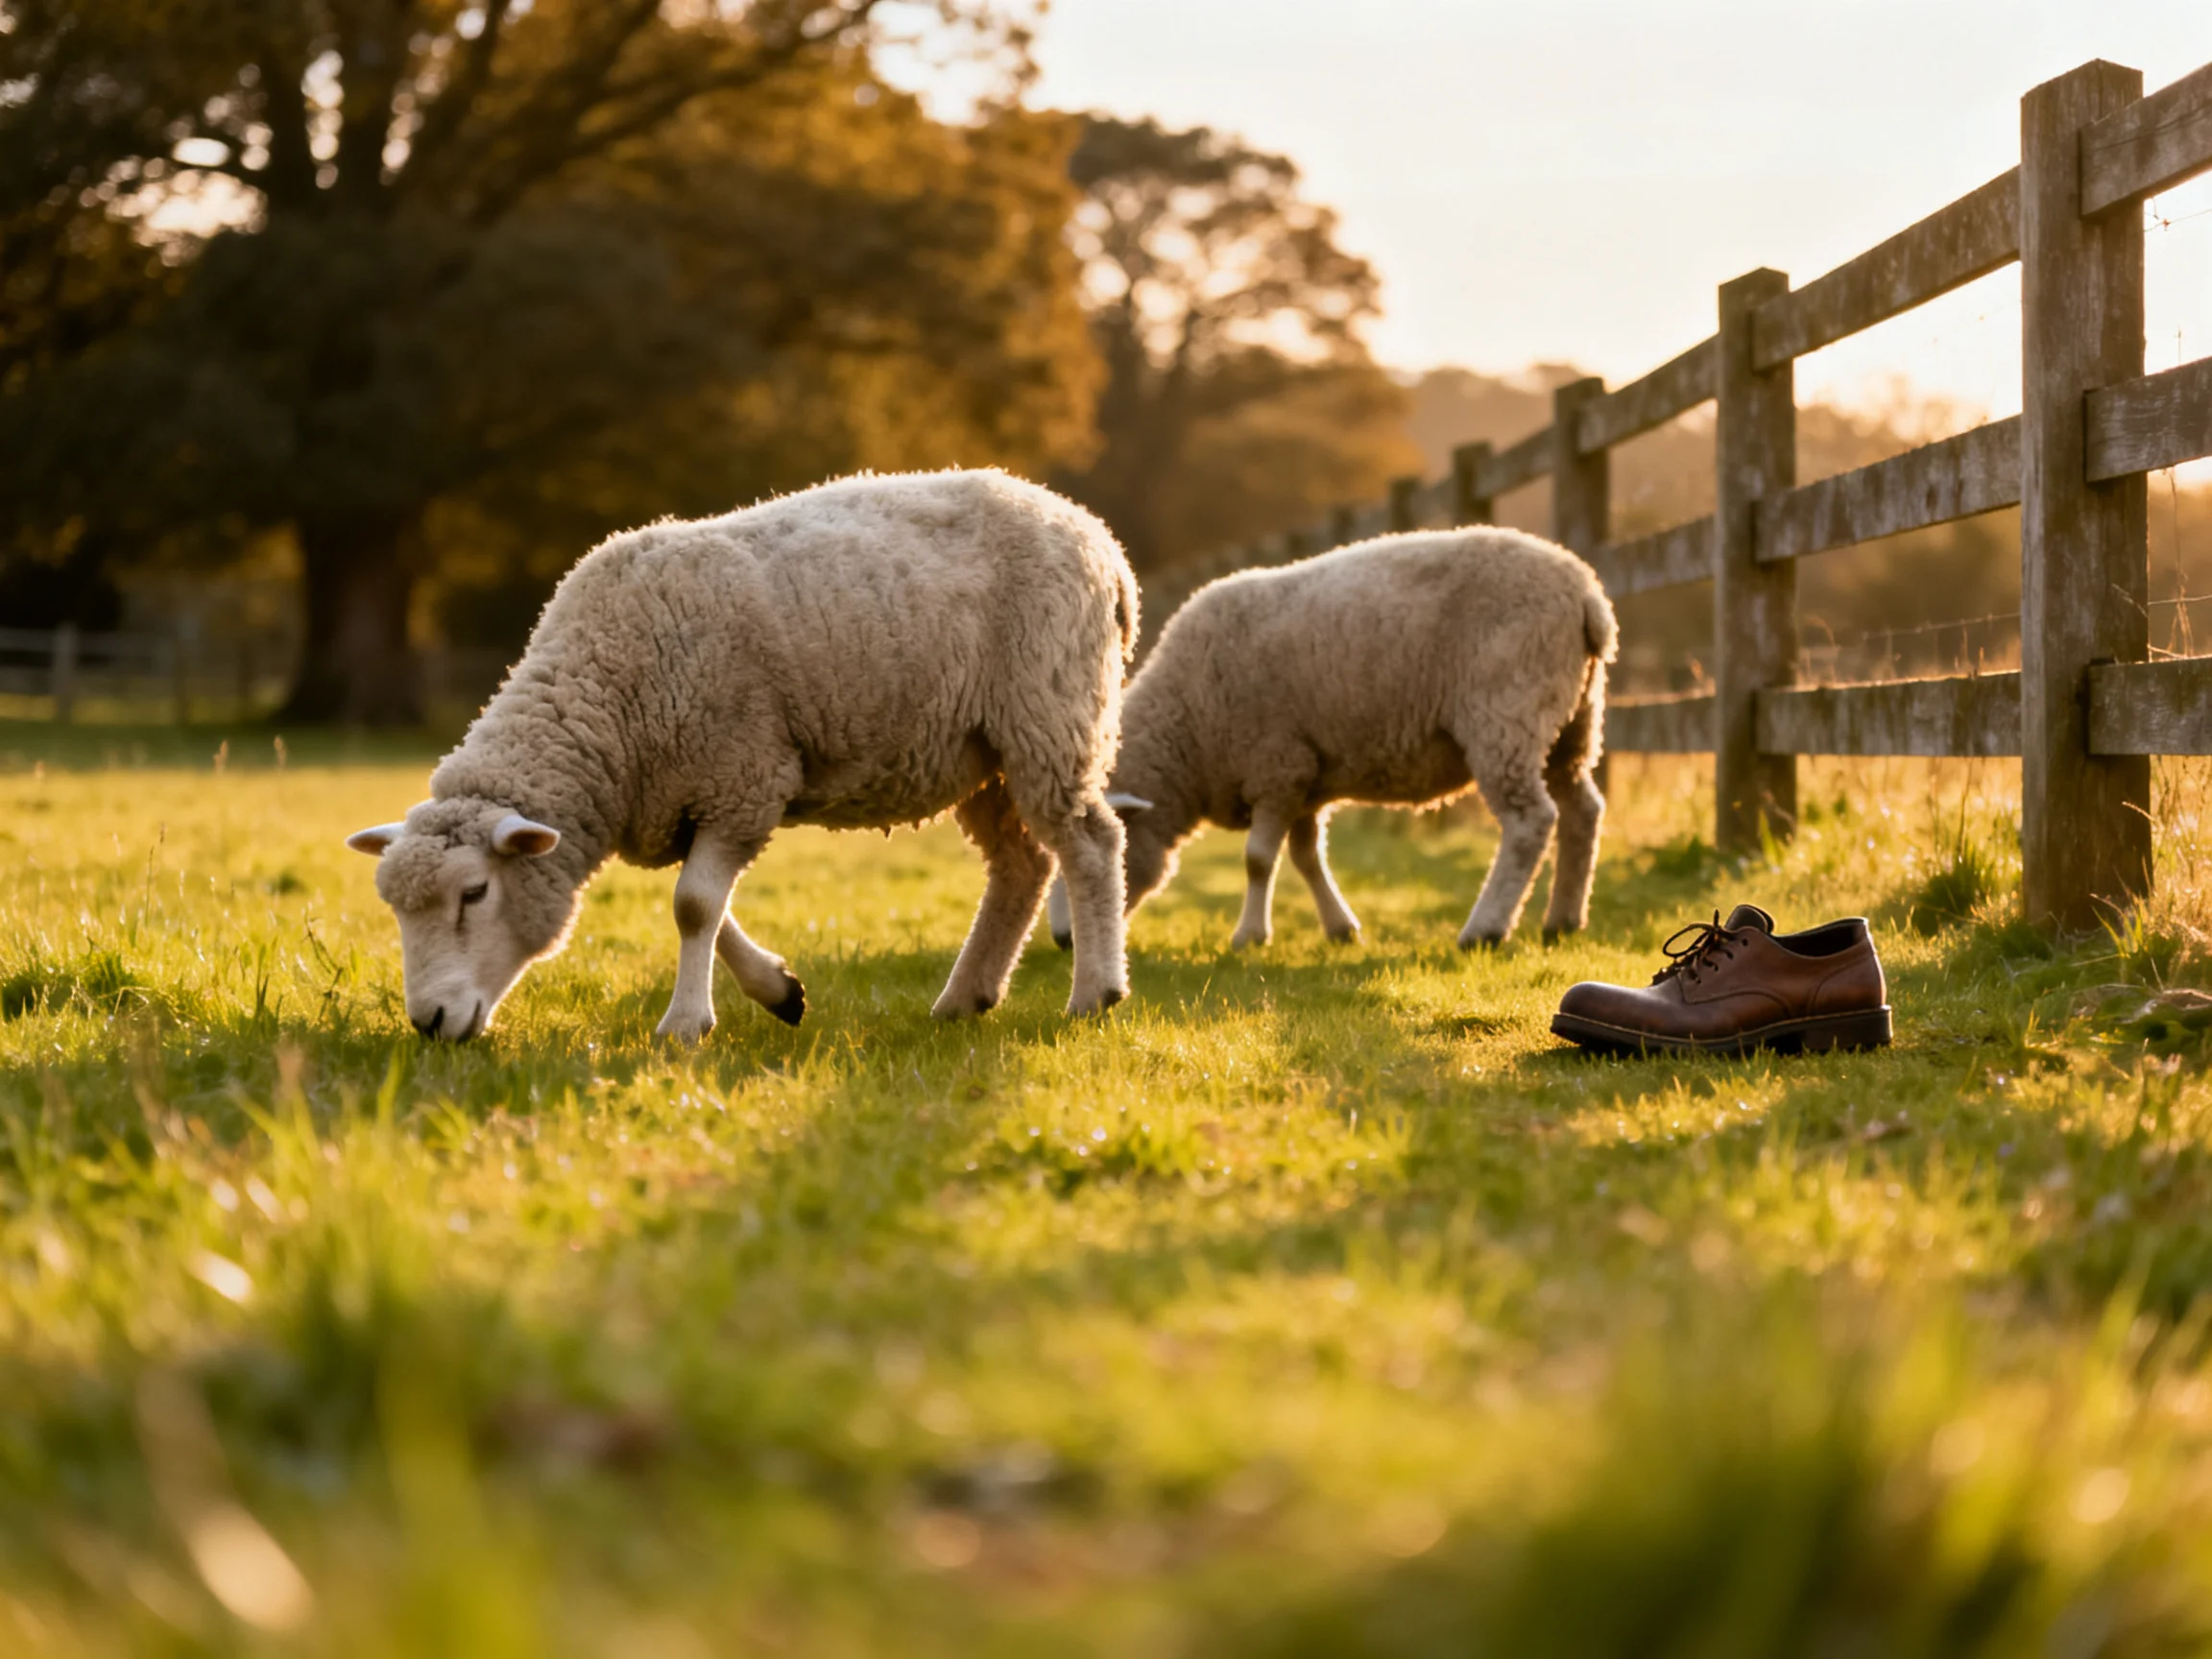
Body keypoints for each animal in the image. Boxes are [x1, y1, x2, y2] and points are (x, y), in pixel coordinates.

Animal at [346, 468, 1139, 1042]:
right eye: (395, 909)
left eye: (475, 893)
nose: (428, 1024)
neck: (605, 702)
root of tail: (1100, 539)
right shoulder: (689, 799)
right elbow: (707, 906)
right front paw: (778, 991)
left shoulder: (743, 777)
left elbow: (694, 905)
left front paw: (684, 1025)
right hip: (984, 752)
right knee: (1022, 865)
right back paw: (964, 998)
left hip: (1050, 714)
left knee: (1091, 844)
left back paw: (1094, 993)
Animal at [1046, 526, 1616, 952]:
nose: (1063, 941)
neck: (1187, 728)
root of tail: (1587, 592)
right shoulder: (1305, 777)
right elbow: (1306, 857)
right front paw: (1340, 928)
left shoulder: (1277, 766)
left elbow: (1258, 859)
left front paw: (1250, 936)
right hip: (1571, 723)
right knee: (1583, 810)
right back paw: (1563, 920)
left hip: (1507, 712)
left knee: (1529, 822)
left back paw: (1486, 928)